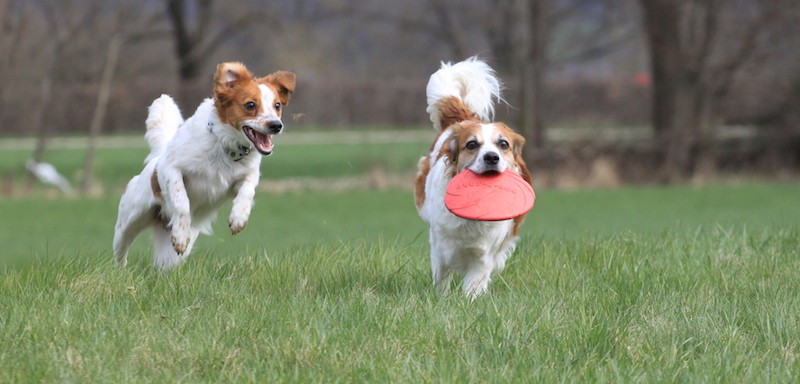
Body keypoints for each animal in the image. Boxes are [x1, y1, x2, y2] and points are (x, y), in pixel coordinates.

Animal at [114, 61, 296, 268]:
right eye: (250, 105)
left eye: (277, 105)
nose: (276, 125)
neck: (225, 147)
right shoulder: (171, 168)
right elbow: (181, 201)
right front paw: (180, 234)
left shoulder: (248, 175)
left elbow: (248, 191)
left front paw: (239, 217)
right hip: (129, 221)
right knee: (121, 251)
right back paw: (122, 269)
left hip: (171, 255)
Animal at [418, 57, 532, 298]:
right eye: (471, 144)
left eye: (503, 144)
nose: (491, 157)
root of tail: (463, 119)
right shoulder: (440, 244)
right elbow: (442, 273)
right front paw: (441, 297)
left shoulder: (485, 252)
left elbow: (475, 279)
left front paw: (470, 298)